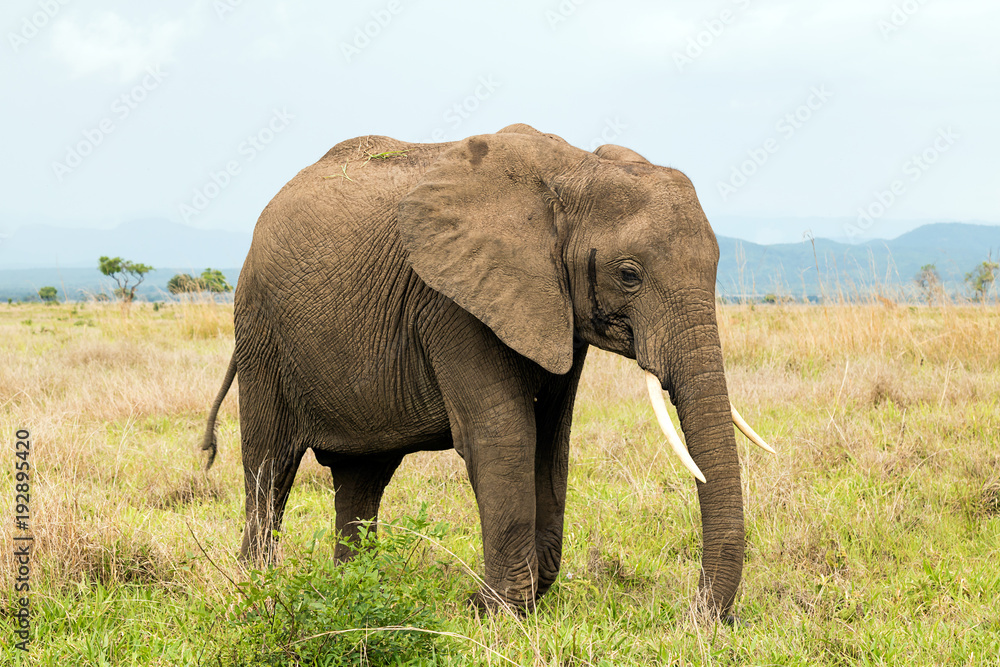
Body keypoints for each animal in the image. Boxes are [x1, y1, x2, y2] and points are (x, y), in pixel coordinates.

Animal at [199, 122, 768, 620]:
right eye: (629, 275)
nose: (698, 616)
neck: (574, 170)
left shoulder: (552, 307)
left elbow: (550, 440)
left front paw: (515, 602)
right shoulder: (454, 301)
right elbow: (504, 435)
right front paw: (493, 611)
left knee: (363, 477)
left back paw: (355, 590)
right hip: (260, 329)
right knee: (269, 465)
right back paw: (260, 589)